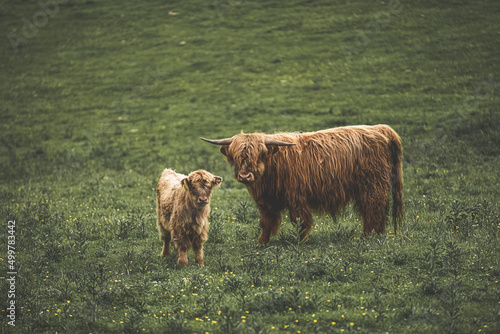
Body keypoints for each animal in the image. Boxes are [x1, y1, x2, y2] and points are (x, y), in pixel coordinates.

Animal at [201, 124, 404, 244]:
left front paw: (300, 242)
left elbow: (300, 221)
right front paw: (261, 243)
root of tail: (380, 128)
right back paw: (377, 234)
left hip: (371, 186)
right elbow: (265, 222)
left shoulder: (297, 198)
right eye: (235, 156)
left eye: (259, 154)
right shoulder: (266, 202)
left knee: (373, 209)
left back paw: (366, 237)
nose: (245, 175)